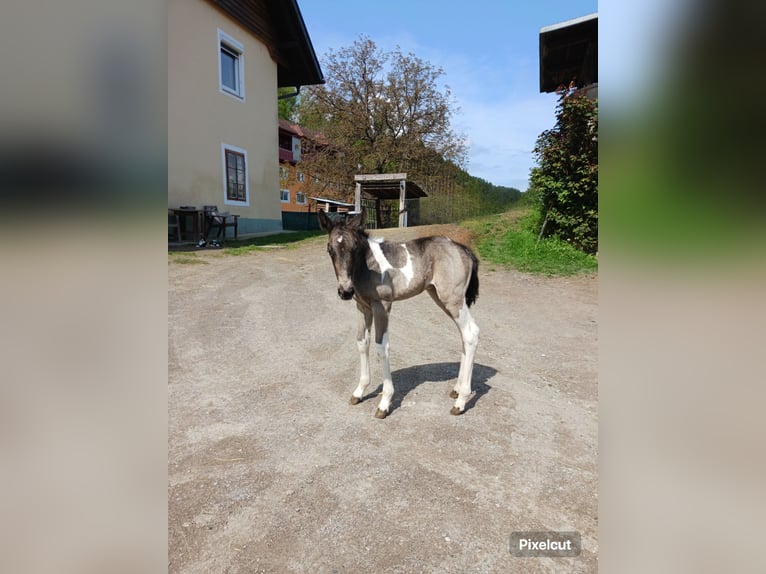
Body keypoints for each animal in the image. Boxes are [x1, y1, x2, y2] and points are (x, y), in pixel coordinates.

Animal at [317, 209, 480, 419]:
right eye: (330, 249)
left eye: (354, 248)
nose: (345, 291)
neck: (367, 266)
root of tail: (463, 249)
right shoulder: (363, 307)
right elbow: (362, 342)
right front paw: (359, 392)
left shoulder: (382, 306)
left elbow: (381, 347)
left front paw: (384, 402)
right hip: (440, 297)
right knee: (464, 336)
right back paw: (457, 389)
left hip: (453, 300)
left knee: (471, 333)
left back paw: (461, 401)